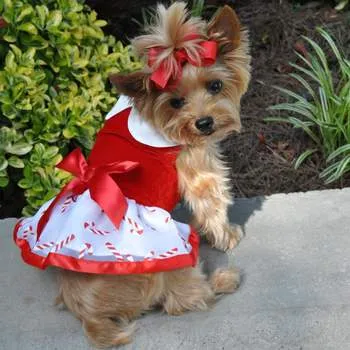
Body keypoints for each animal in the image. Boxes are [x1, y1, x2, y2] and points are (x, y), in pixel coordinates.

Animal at [56, 2, 250, 348]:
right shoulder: (199, 167)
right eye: (175, 101)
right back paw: (223, 279)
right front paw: (226, 236)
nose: (204, 123)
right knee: (180, 300)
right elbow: (213, 203)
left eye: (215, 86)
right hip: (163, 263)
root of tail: (87, 313)